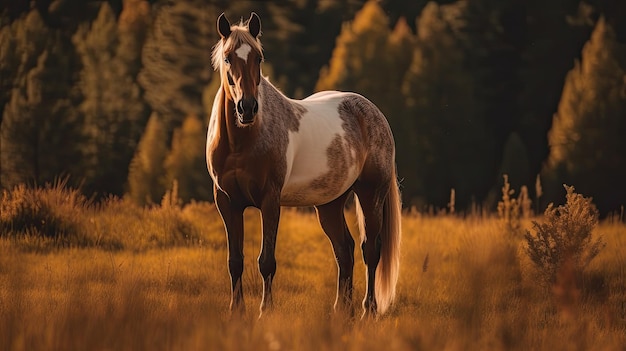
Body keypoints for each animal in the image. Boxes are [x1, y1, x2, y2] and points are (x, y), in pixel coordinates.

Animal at [205, 11, 400, 320]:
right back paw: (341, 310)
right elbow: (235, 260)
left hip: (371, 194)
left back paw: (368, 310)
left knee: (371, 250)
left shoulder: (270, 200)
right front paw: (236, 311)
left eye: (258, 57)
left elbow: (266, 261)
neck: (242, 141)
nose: (247, 108)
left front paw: (265, 311)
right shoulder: (226, 201)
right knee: (344, 250)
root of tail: (374, 113)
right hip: (330, 204)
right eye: (227, 58)